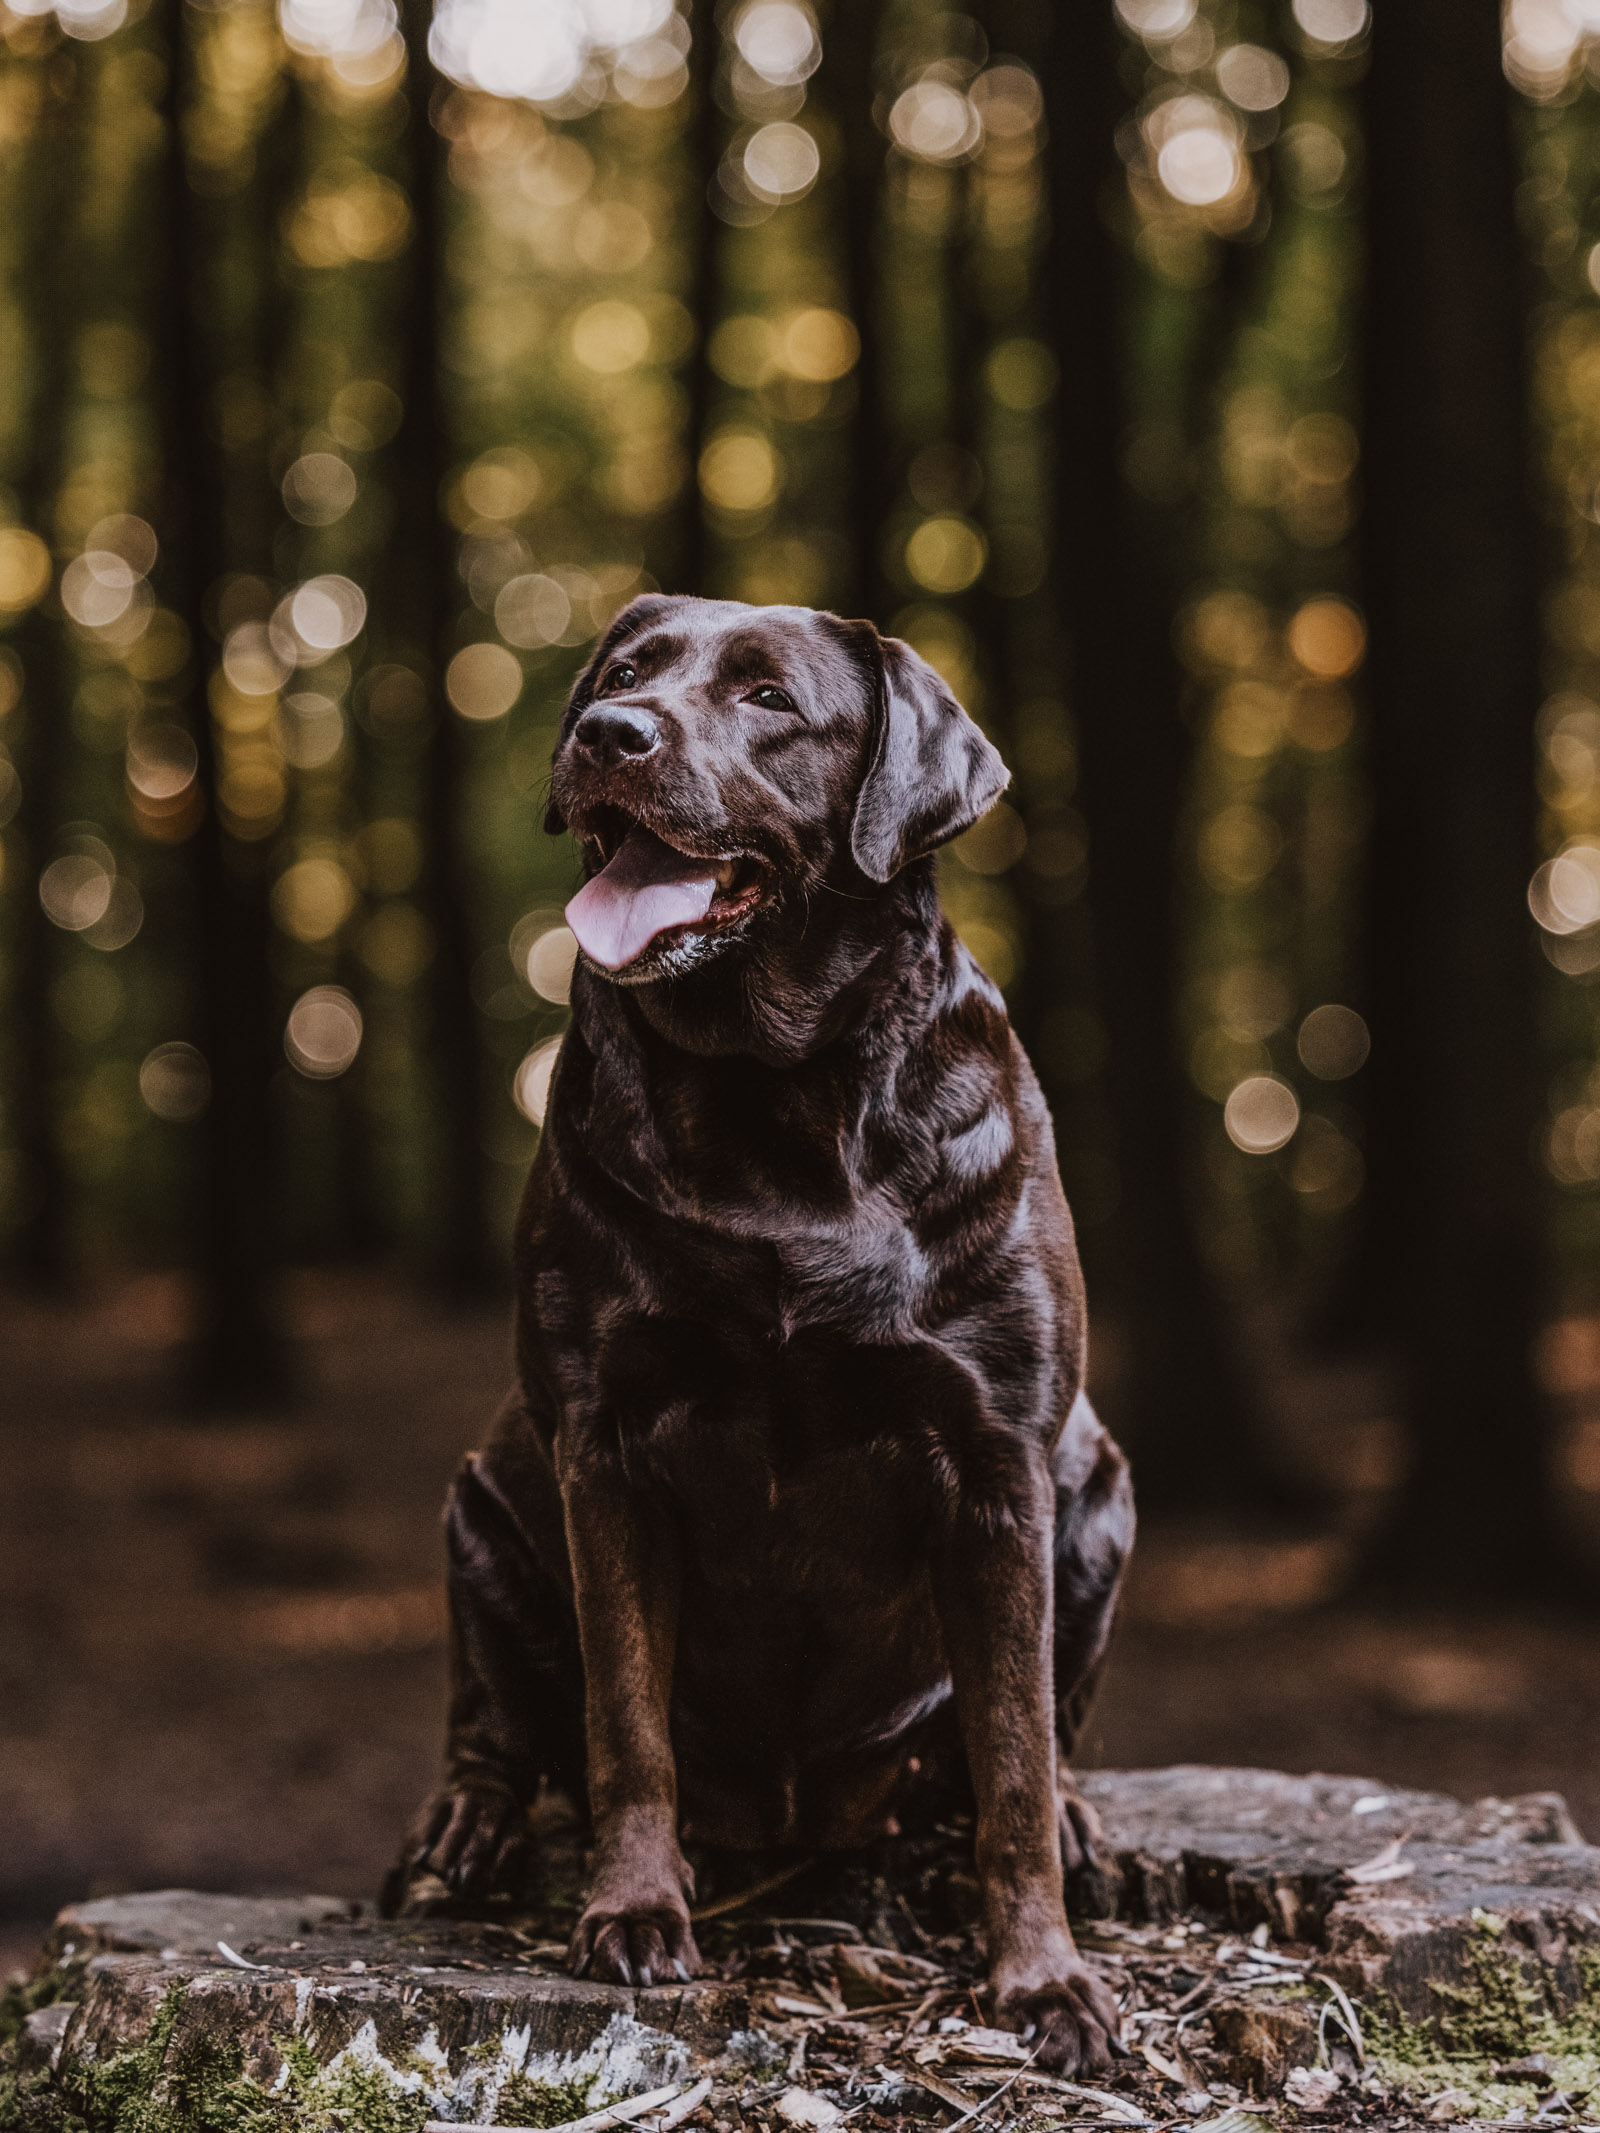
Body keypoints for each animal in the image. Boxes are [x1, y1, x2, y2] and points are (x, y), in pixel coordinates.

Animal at [392, 592, 1143, 2073]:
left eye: (770, 701)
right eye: (627, 672)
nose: (607, 732)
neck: (773, 1093)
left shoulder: (1004, 1466)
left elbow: (1015, 1763)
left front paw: (1042, 1982)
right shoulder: (602, 1448)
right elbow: (626, 1725)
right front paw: (634, 1913)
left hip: (1098, 1494)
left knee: (1031, 1747)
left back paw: (1080, 1829)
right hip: (483, 1512)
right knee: (496, 1723)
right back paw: (466, 1824)